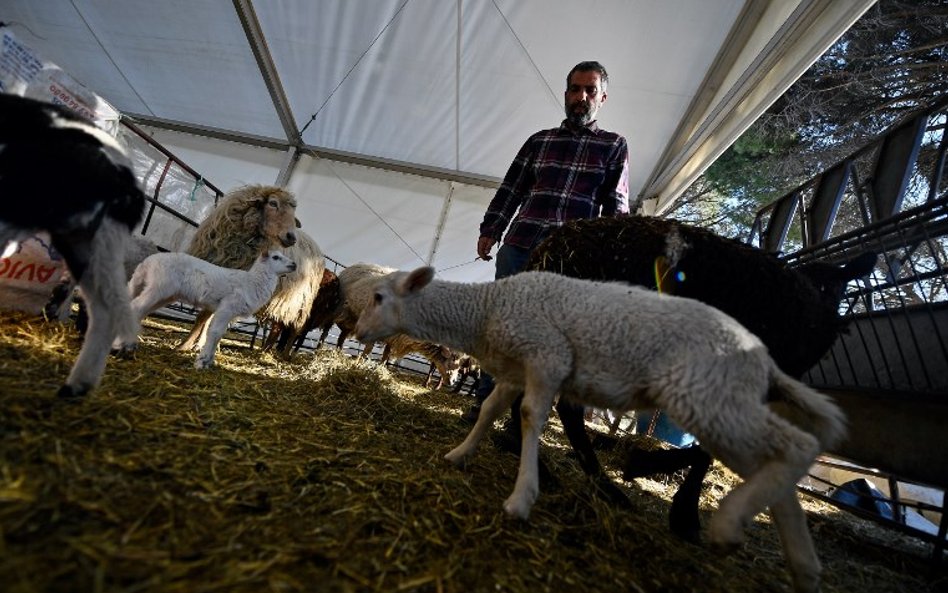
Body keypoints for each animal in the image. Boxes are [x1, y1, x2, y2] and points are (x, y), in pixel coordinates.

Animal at [128, 249, 294, 368]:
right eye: (276, 257)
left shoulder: (228, 312)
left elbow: (220, 335)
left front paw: (209, 360)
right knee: (136, 307)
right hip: (159, 287)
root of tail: (147, 263)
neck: (252, 282)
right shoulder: (227, 307)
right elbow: (215, 333)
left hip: (160, 292)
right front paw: (202, 361)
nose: (294, 264)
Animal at [178, 184, 296, 352]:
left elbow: (206, 316)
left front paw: (189, 344)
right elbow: (205, 317)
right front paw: (189, 343)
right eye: (273, 203)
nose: (292, 237)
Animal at [356, 264, 844, 592]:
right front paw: (460, 454)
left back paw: (727, 525)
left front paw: (522, 497)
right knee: (777, 469)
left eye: (378, 297)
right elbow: (491, 409)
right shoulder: (517, 367)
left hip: (709, 396)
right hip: (723, 402)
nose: (358, 331)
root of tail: (764, 360)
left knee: (798, 444)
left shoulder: (547, 355)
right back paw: (803, 569)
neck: (487, 309)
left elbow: (530, 416)